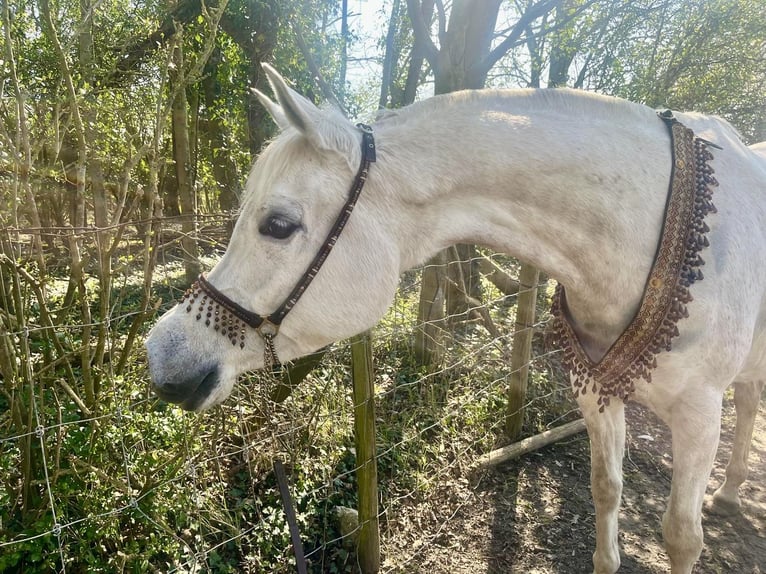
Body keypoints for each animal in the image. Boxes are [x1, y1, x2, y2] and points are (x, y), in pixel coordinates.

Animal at [145, 64, 766, 573]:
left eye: (276, 224)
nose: (162, 358)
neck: (638, 235)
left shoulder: (697, 415)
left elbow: (681, 537)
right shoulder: (594, 391)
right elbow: (606, 490)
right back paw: (730, 492)